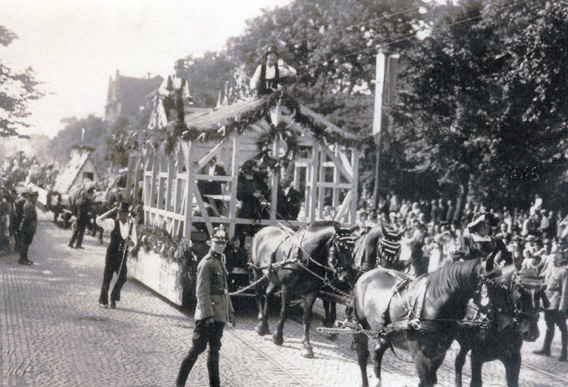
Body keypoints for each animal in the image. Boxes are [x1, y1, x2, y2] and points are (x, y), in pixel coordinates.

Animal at [250, 223, 352, 360]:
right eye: (340, 246)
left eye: (352, 248)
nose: (347, 276)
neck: (304, 257)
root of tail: (262, 230)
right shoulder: (287, 288)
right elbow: (284, 312)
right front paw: (278, 337)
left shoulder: (312, 292)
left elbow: (307, 318)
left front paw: (307, 346)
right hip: (257, 272)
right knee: (259, 295)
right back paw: (260, 325)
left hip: (273, 277)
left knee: (268, 294)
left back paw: (265, 324)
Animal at [356, 258, 510, 387]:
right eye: (495, 286)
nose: (507, 321)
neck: (431, 304)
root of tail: (367, 274)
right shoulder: (420, 355)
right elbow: (425, 381)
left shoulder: (439, 354)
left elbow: (430, 380)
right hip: (361, 327)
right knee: (362, 357)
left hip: (384, 332)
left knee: (378, 351)